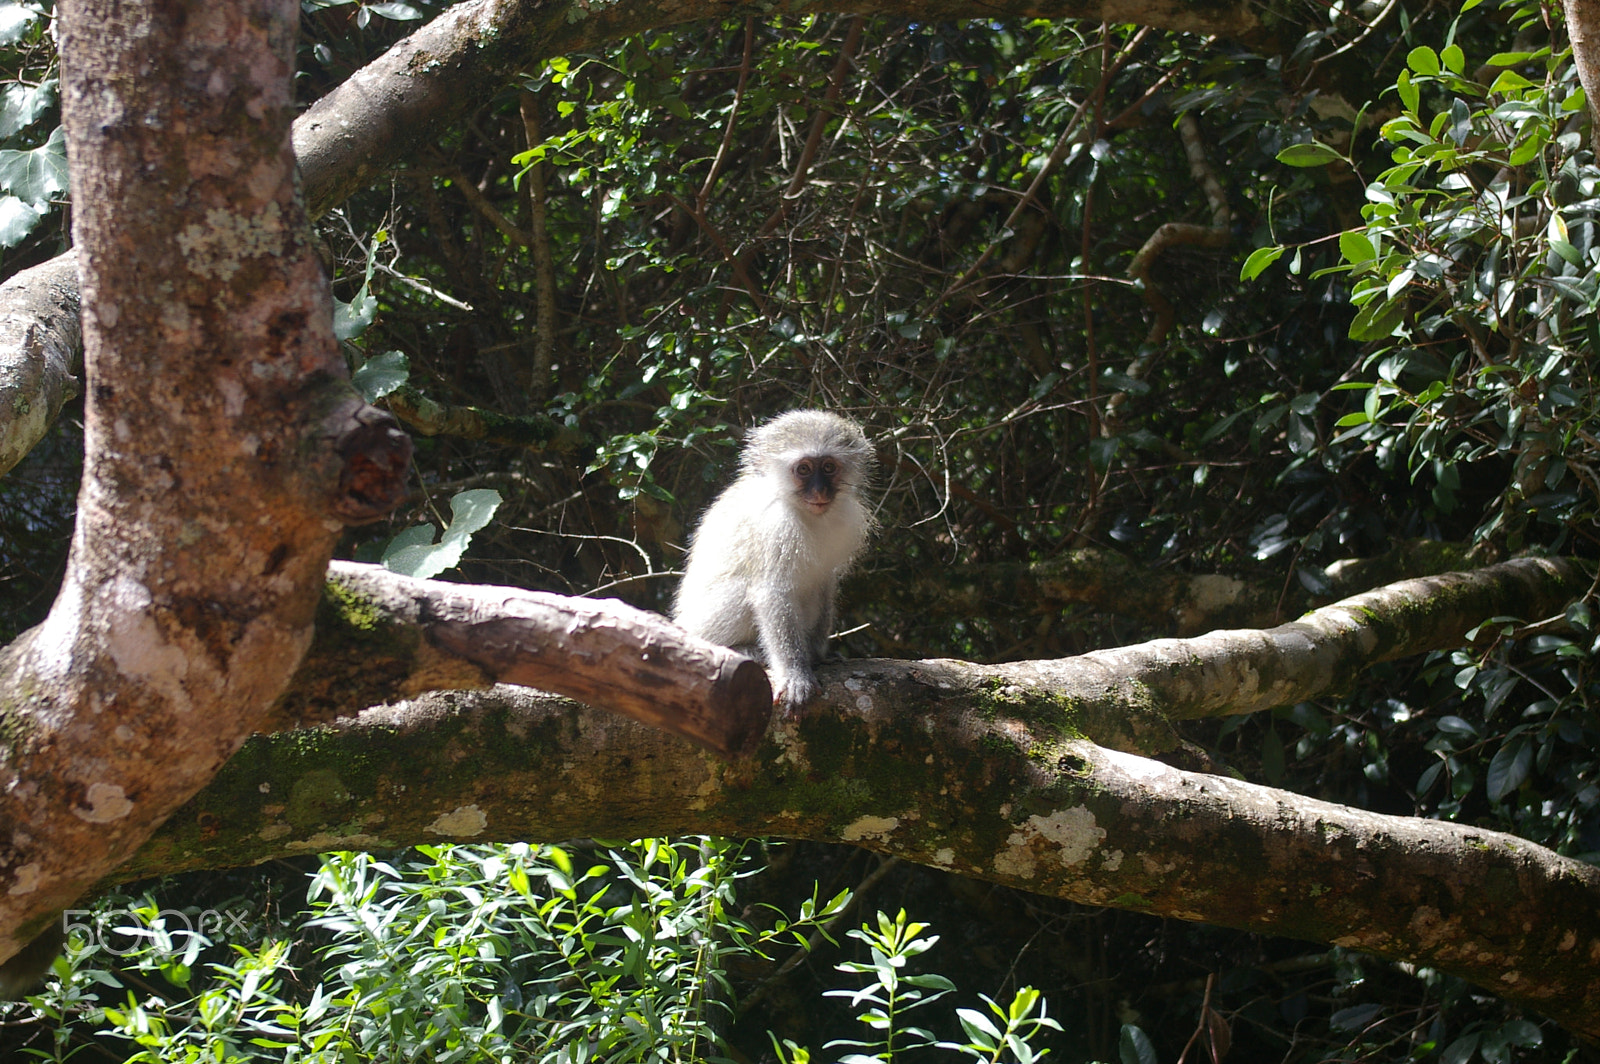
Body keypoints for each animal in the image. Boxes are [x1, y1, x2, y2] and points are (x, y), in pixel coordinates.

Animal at [672, 409, 876, 710]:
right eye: (804, 469)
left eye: (828, 467)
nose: (820, 492)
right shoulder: (776, 526)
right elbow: (772, 593)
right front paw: (794, 674)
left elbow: (824, 584)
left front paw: (818, 654)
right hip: (699, 626)